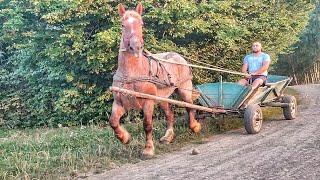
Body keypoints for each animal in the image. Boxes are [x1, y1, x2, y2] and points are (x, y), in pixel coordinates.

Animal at [109, 2, 201, 158]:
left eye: (141, 23)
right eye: (122, 25)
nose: (136, 47)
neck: (132, 73)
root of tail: (178, 56)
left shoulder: (148, 102)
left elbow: (147, 124)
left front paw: (148, 149)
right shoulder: (120, 102)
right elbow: (113, 122)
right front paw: (125, 138)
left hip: (184, 90)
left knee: (190, 106)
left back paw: (195, 126)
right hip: (162, 98)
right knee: (170, 114)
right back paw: (168, 136)